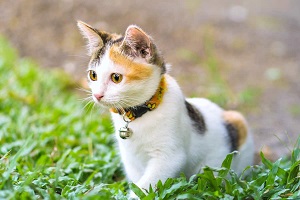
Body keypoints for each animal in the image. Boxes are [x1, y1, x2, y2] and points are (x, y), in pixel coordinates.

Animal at [77, 20, 253, 197]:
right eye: (93, 75)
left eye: (116, 77)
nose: (97, 95)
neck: (138, 114)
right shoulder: (130, 160)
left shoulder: (169, 157)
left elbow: (144, 186)